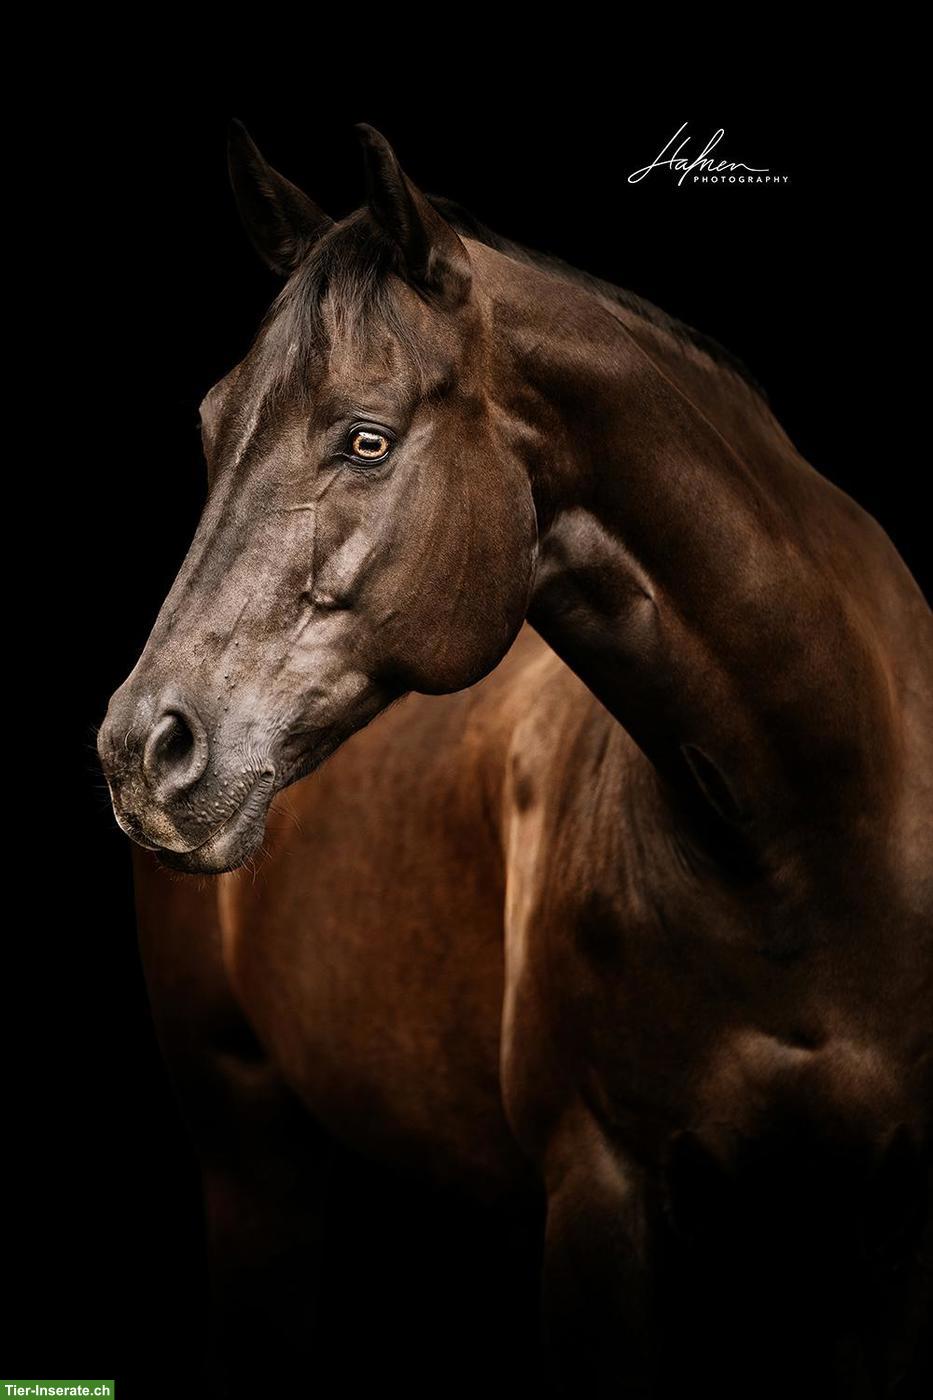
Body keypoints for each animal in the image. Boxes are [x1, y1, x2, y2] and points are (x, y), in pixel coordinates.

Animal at [98, 122, 933, 1397]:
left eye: (367, 438)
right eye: (208, 425)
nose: (144, 748)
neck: (808, 831)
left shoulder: (884, 1244)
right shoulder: (600, 1198)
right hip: (251, 1158)